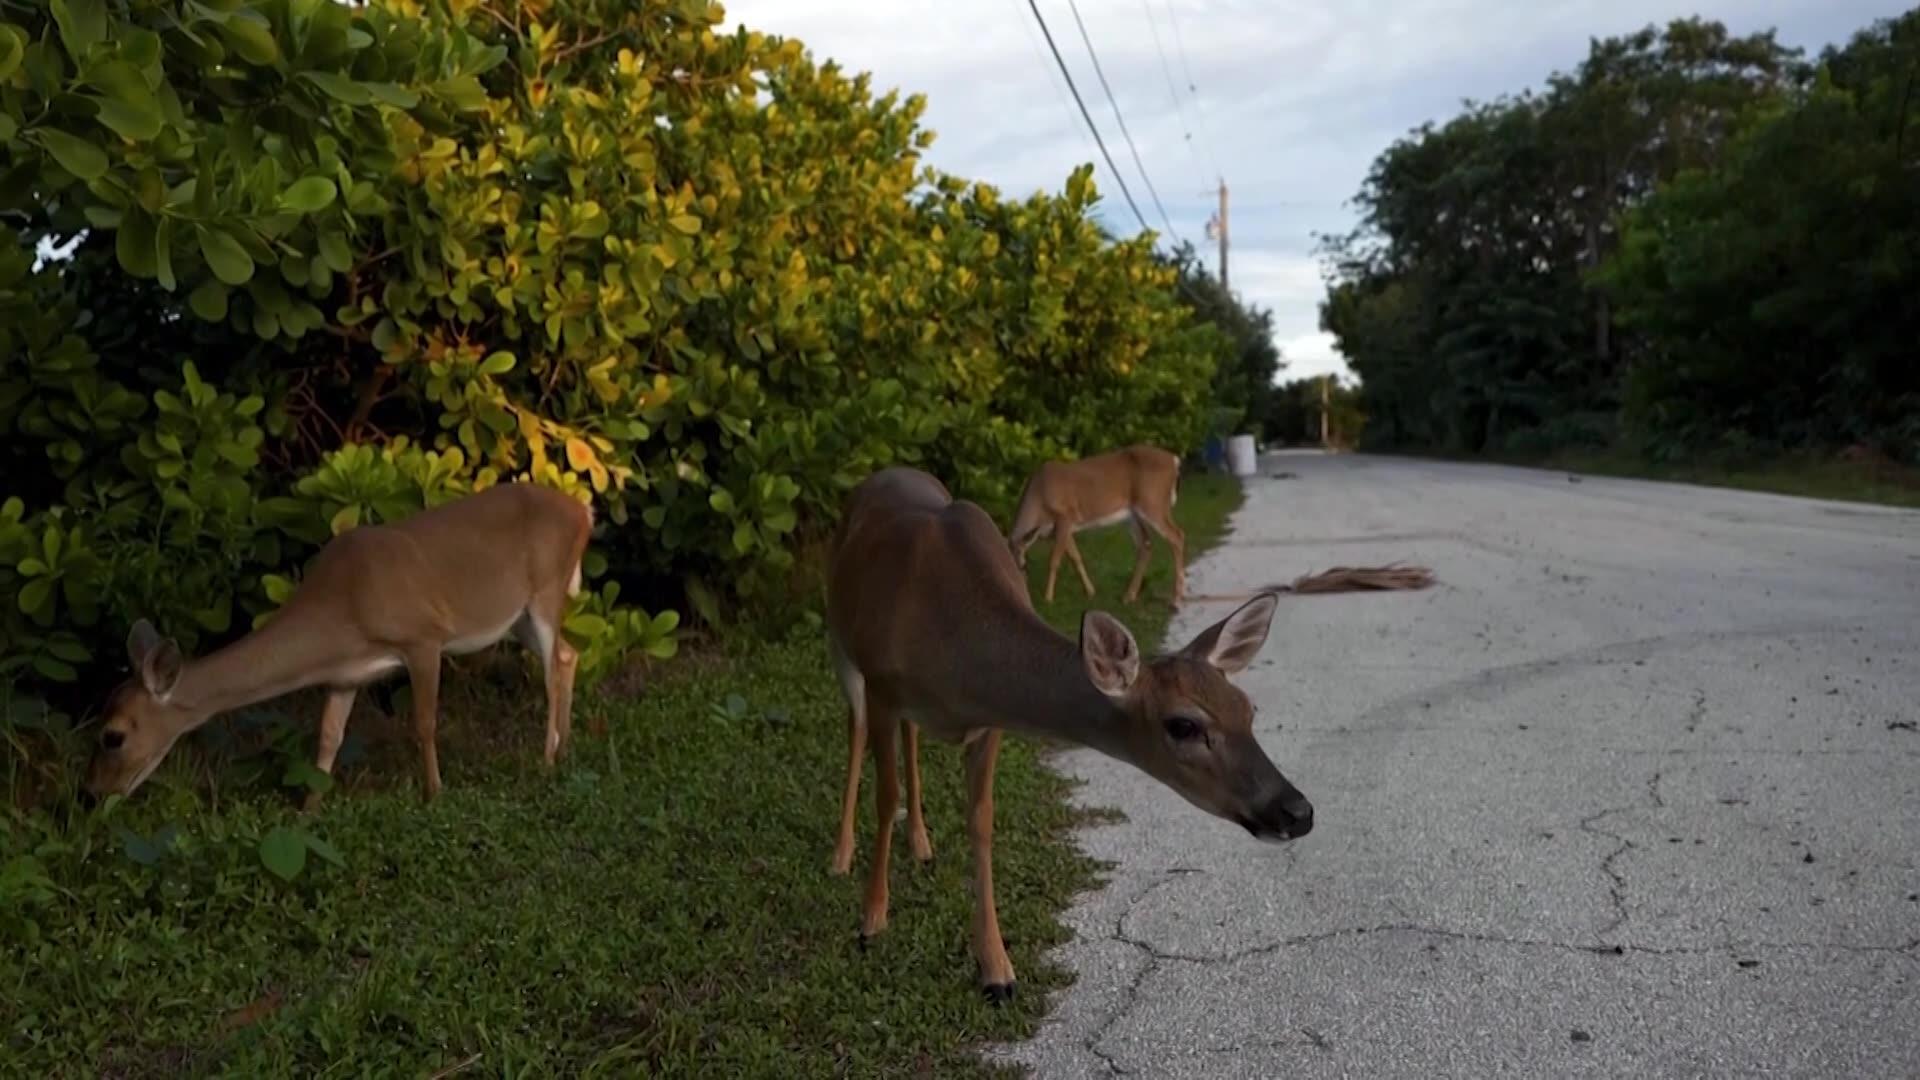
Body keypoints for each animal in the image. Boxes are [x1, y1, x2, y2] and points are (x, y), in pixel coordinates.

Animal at [84, 478, 591, 799]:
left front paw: (435, 793)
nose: (92, 793)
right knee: (570, 654)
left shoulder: (423, 637)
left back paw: (547, 760)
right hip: (516, 617)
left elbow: (424, 722)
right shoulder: (345, 676)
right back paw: (565, 752)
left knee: (553, 668)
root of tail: (583, 511)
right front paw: (308, 813)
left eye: (113, 736)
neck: (342, 609)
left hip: (546, 590)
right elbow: (327, 739)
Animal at [817, 466, 1313, 999]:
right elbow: (884, 795)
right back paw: (841, 855)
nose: (1298, 811)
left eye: (1248, 709)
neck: (956, 655)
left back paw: (922, 844)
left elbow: (981, 819)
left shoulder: (989, 722)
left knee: (910, 736)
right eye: (1183, 725)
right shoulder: (882, 683)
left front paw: (997, 969)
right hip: (841, 643)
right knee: (856, 727)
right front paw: (871, 920)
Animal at [1006, 440, 1182, 607]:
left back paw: (1176, 598)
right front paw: (1090, 591)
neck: (1039, 496)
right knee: (1146, 545)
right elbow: (1076, 557)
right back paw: (1128, 597)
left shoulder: (1065, 516)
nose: (1019, 589)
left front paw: (1048, 598)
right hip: (1133, 515)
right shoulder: (1063, 529)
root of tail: (1174, 461)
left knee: (1177, 536)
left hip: (1154, 503)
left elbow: (1054, 560)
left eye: (1023, 565)